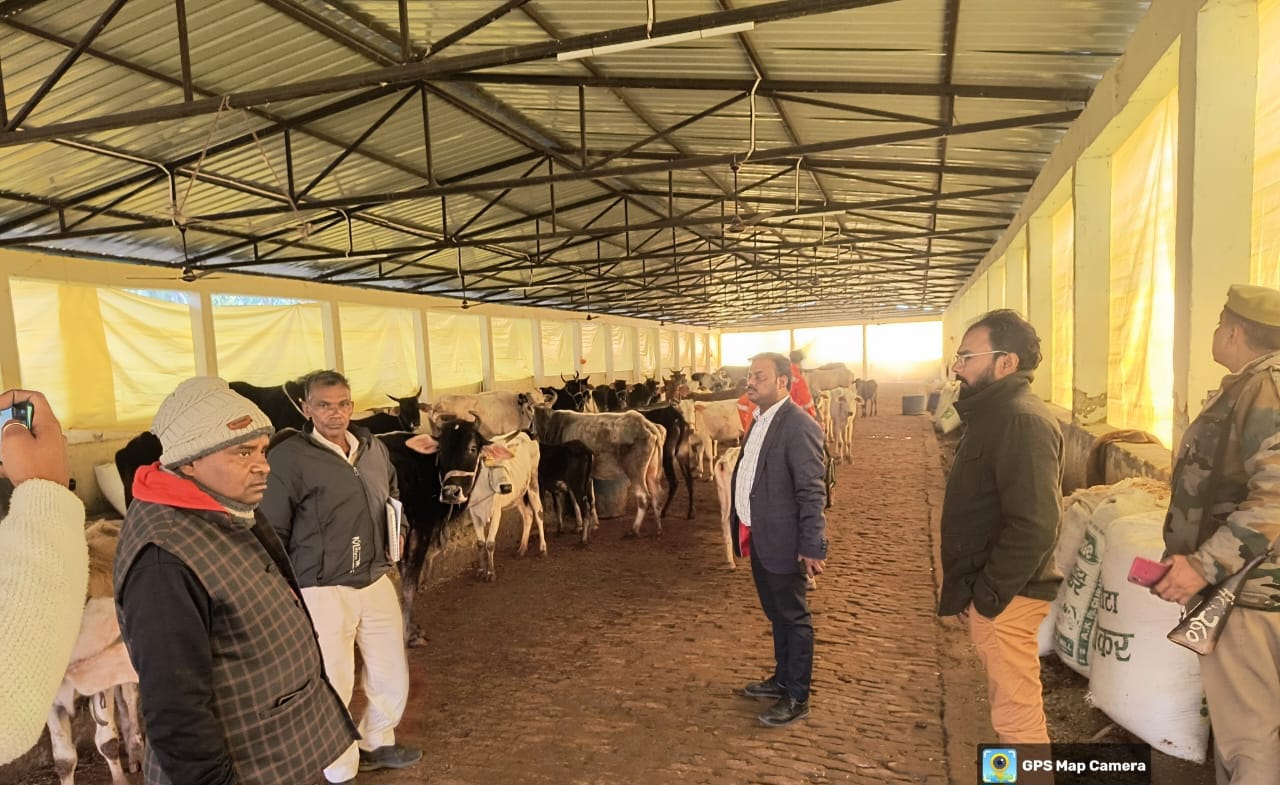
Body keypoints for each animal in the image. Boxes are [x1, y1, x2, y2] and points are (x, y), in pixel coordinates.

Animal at [531, 406, 664, 538]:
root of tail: (646, 423)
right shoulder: (588, 478)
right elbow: (591, 500)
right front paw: (594, 525)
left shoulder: (572, 479)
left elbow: (575, 502)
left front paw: (579, 527)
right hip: (651, 472)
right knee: (656, 495)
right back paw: (658, 530)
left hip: (635, 472)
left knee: (644, 497)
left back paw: (634, 530)